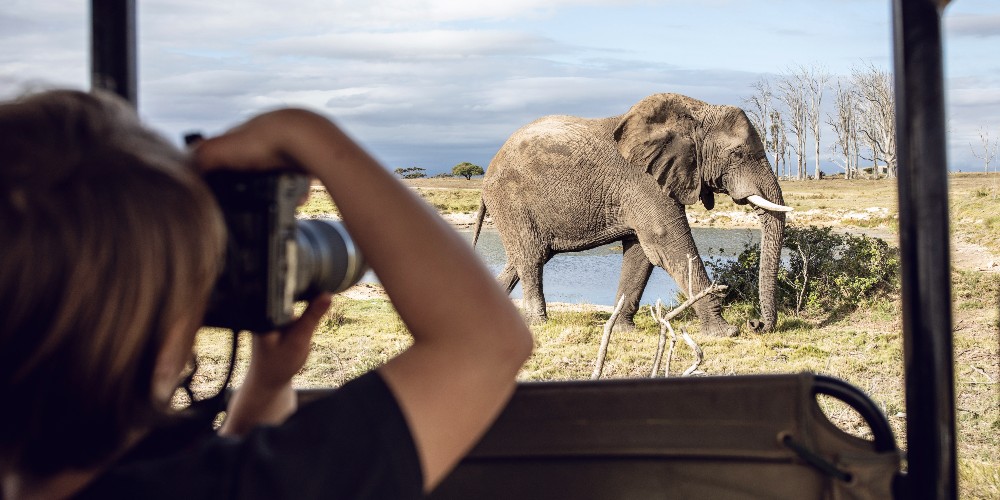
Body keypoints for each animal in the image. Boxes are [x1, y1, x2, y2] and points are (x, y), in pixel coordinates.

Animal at [472, 93, 792, 336]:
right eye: (737, 154)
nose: (756, 324)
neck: (695, 112)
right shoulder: (644, 182)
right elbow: (666, 243)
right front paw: (725, 332)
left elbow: (641, 253)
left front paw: (623, 330)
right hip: (511, 200)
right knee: (531, 259)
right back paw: (539, 323)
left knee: (522, 259)